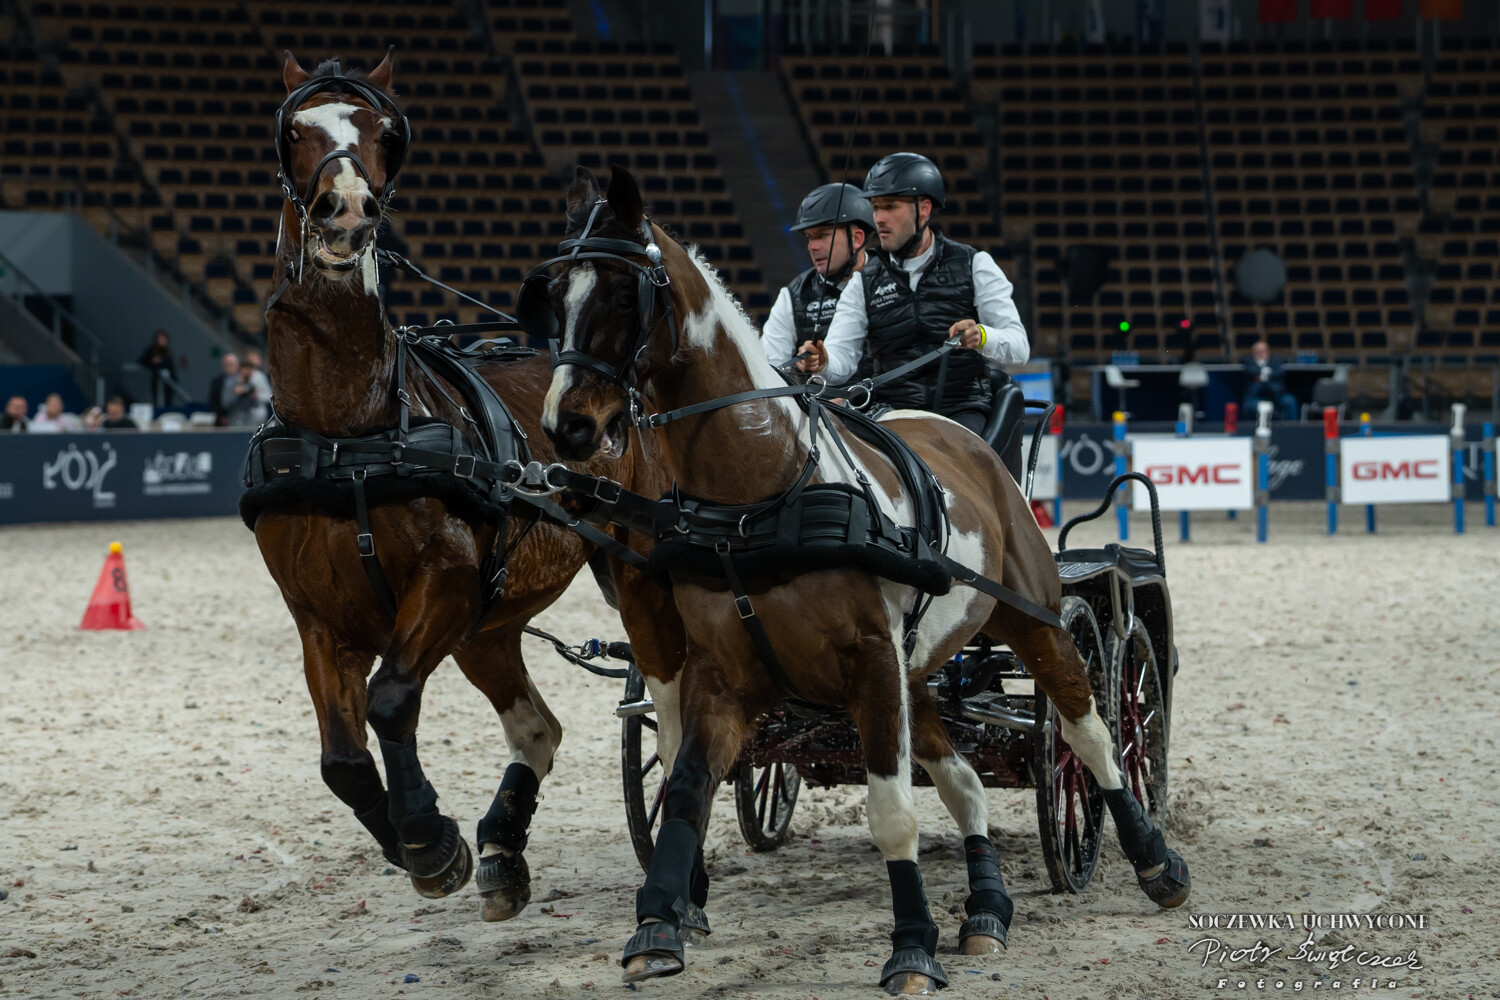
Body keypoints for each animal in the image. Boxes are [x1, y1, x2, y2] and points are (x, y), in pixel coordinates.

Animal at [248, 52, 689, 925]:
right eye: (294, 130)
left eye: (386, 132)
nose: (346, 208)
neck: (351, 431)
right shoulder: (317, 616)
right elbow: (341, 760)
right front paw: (421, 841)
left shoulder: (444, 582)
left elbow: (389, 699)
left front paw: (427, 836)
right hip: (491, 623)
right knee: (538, 728)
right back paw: (502, 848)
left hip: (626, 570)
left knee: (673, 694)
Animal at [530, 165, 1191, 993]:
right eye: (554, 293)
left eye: (625, 295)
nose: (566, 427)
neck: (762, 496)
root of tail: (961, 436)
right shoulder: (724, 672)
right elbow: (684, 787)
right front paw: (660, 922)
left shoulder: (868, 661)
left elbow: (891, 810)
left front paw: (910, 948)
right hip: (917, 670)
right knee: (965, 776)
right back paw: (985, 912)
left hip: (1035, 623)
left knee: (1092, 732)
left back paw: (1153, 861)